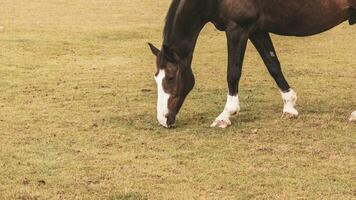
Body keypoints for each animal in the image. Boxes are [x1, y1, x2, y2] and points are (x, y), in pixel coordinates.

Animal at [147, 0, 356, 128]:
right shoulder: (257, 31)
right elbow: (273, 65)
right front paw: (289, 106)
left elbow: (233, 72)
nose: (163, 119)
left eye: (170, 78)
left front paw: (225, 115)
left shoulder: (237, 29)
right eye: (156, 77)